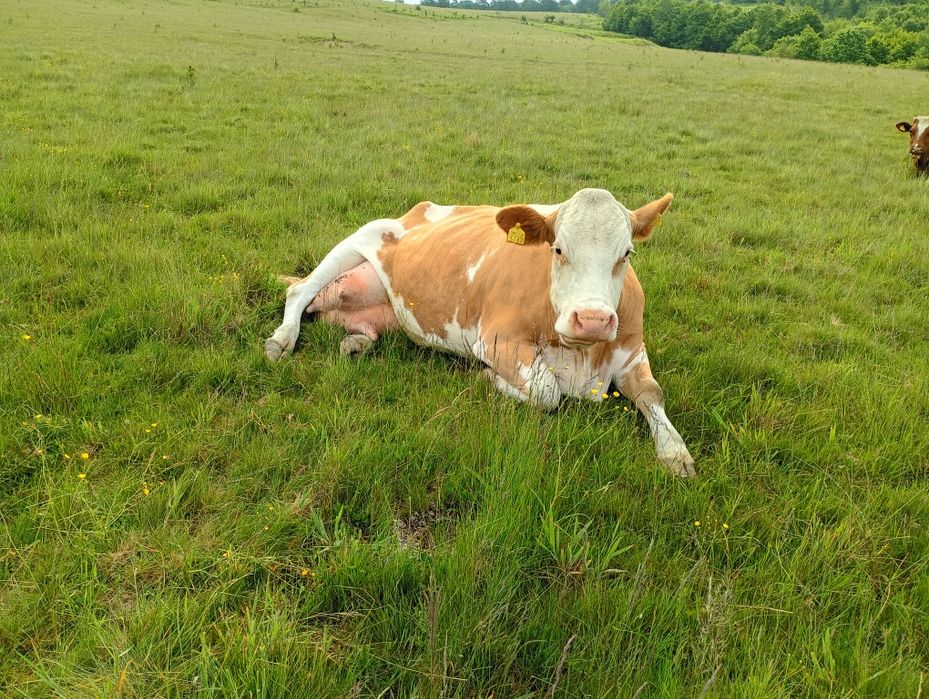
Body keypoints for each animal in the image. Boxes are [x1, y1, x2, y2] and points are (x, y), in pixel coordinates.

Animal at [266, 188, 696, 477]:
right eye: (557, 249)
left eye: (627, 253)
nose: (591, 319)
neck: (583, 357)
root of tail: (417, 210)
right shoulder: (494, 339)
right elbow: (547, 390)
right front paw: (486, 378)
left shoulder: (632, 350)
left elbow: (652, 393)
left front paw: (675, 452)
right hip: (356, 240)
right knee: (300, 290)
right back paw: (281, 340)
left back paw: (355, 342)